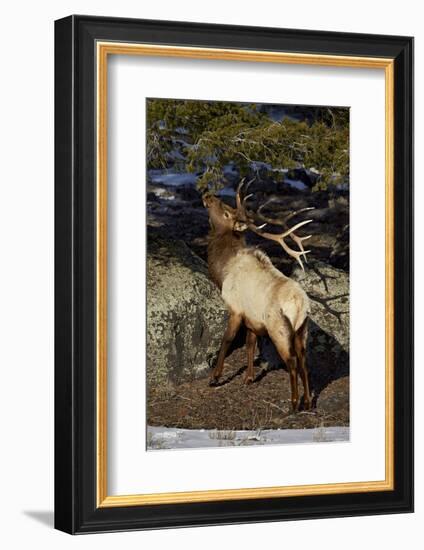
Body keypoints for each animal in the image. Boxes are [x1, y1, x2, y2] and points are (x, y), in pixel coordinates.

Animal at [204, 182, 314, 414]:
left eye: (225, 211)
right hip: (302, 329)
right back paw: (308, 402)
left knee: (291, 361)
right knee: (304, 361)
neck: (222, 269)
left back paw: (293, 404)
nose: (207, 195)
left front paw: (215, 377)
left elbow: (227, 340)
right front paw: (248, 378)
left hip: (279, 328)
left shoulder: (235, 308)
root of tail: (301, 306)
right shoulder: (252, 319)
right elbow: (250, 344)